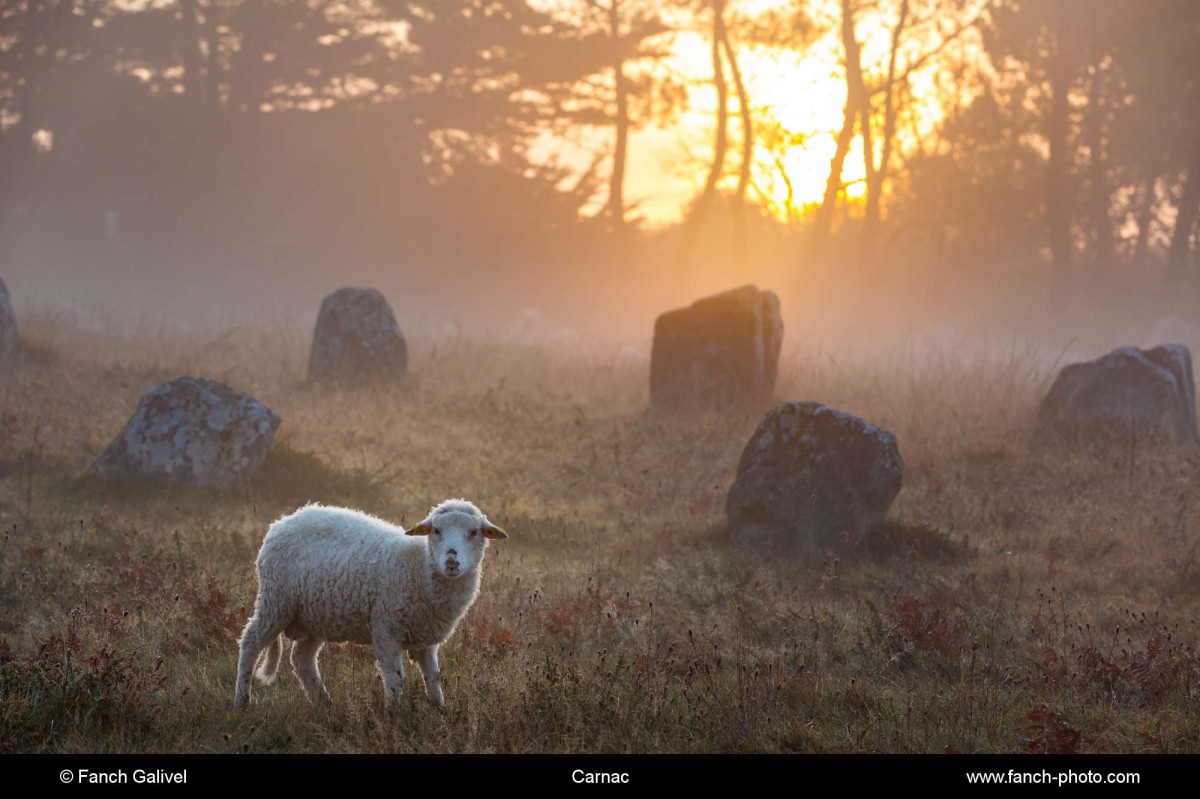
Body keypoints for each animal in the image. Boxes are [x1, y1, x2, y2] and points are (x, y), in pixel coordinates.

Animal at [234, 499, 507, 709]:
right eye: (436, 531)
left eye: (473, 532)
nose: (452, 562)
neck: (418, 567)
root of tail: (282, 522)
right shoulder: (385, 627)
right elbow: (395, 677)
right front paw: (395, 714)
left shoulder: (425, 638)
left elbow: (433, 677)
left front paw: (439, 709)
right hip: (275, 600)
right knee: (250, 642)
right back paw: (243, 702)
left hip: (315, 615)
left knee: (302, 660)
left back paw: (325, 704)